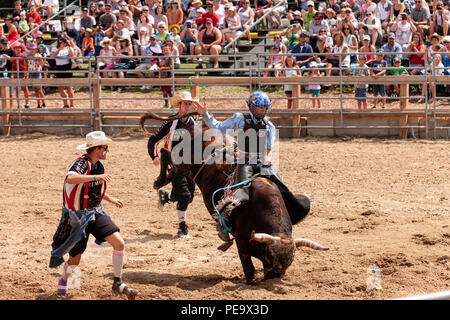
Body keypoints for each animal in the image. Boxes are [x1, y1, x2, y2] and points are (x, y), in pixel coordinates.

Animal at [142, 112, 328, 282]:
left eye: (289, 263)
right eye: (269, 258)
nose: (273, 278)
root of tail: (195, 126)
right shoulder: (242, 243)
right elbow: (249, 269)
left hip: (188, 168)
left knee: (172, 165)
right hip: (184, 161)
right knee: (165, 153)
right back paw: (159, 182)